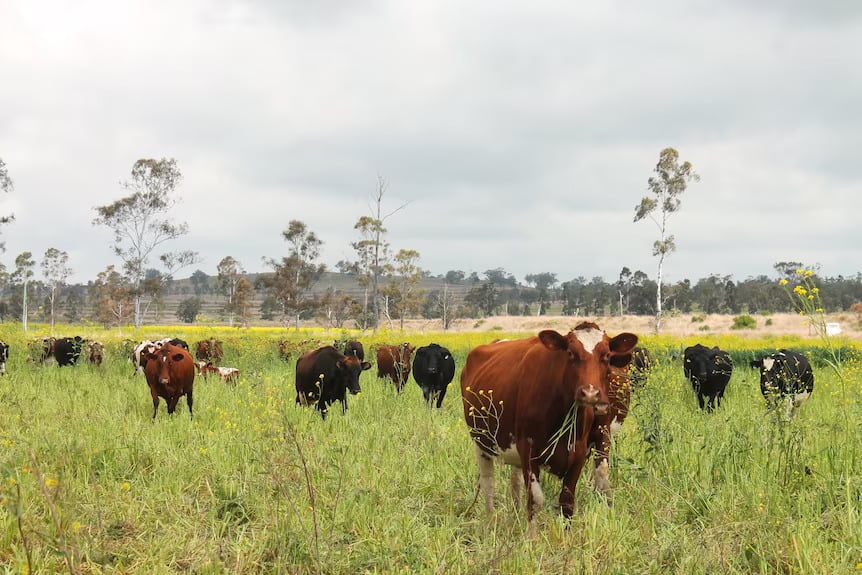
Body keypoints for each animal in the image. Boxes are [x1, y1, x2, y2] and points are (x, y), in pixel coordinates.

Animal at [462, 322, 636, 528]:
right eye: (570, 353)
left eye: (607, 355)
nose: (590, 393)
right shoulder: (528, 449)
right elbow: (535, 501)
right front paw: (531, 536)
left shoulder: (582, 449)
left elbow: (568, 502)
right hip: (481, 441)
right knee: (488, 482)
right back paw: (489, 523)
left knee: (515, 479)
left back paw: (515, 513)